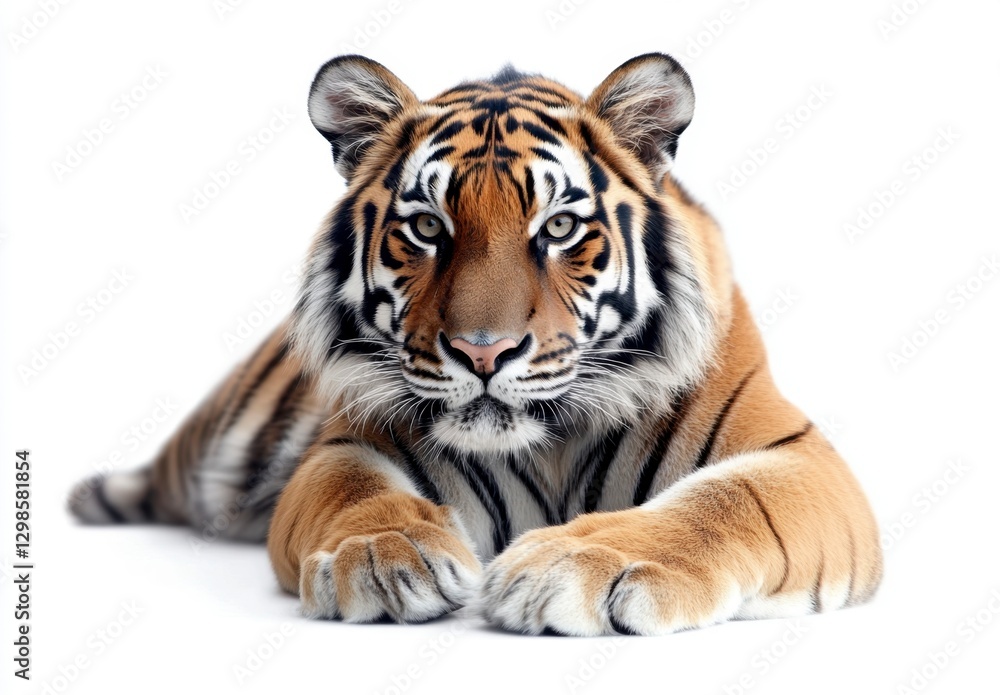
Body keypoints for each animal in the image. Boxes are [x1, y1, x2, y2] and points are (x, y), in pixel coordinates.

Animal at [69, 53, 883, 636]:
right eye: (428, 227)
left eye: (559, 227)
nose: (484, 353)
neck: (553, 447)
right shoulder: (346, 444)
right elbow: (355, 490)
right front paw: (384, 557)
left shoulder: (798, 457)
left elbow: (723, 501)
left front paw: (572, 565)